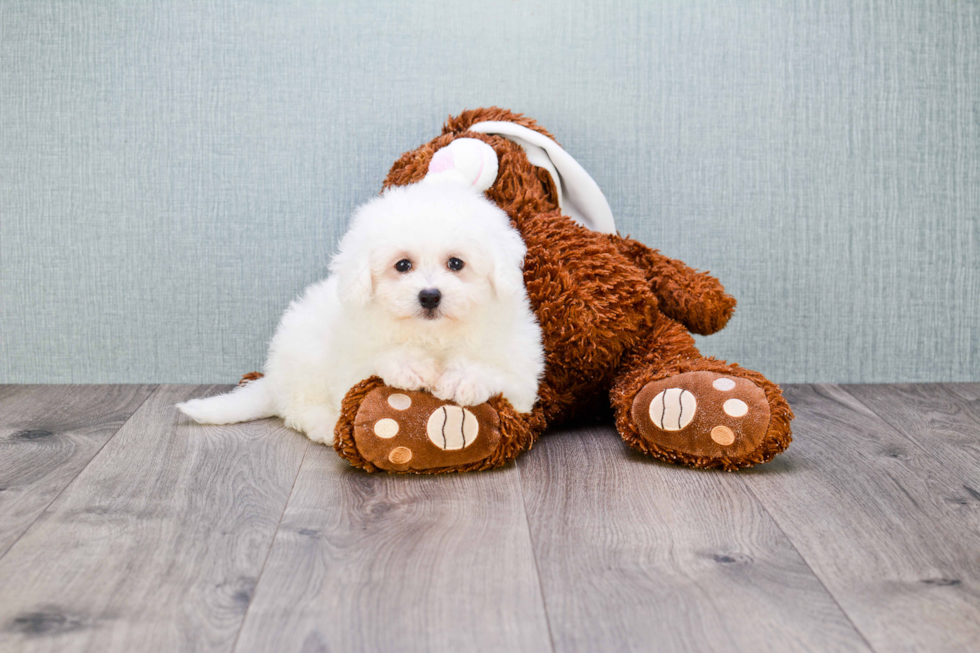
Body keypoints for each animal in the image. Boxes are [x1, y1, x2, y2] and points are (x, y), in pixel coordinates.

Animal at [176, 178, 544, 444]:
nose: (429, 296)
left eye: (456, 263)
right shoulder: (351, 363)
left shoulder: (523, 378)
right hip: (306, 354)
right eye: (403, 265)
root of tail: (274, 378)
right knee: (298, 407)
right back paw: (326, 425)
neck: (432, 336)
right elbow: (374, 363)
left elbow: (503, 375)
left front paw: (464, 378)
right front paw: (410, 365)